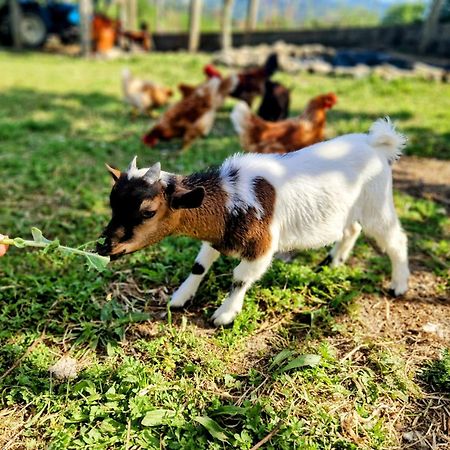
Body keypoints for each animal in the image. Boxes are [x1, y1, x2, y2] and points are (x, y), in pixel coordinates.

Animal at [97, 118, 408, 326]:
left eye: (148, 212)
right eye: (112, 203)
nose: (104, 246)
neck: (229, 197)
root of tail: (375, 143)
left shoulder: (262, 246)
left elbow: (240, 278)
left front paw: (223, 315)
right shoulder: (217, 235)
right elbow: (199, 266)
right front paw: (180, 298)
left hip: (377, 202)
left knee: (395, 239)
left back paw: (399, 285)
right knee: (352, 228)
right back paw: (332, 262)